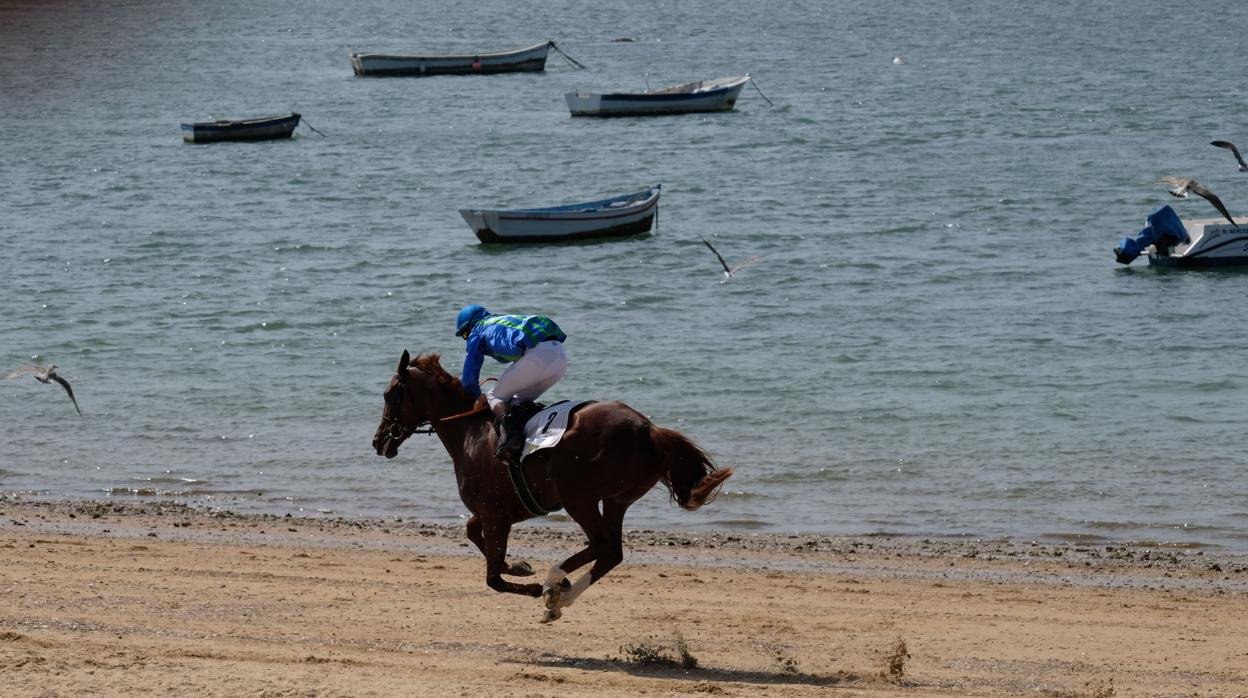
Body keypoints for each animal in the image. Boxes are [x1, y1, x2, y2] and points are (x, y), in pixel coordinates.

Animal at [369, 349, 728, 621]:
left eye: (388, 395)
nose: (378, 441)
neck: (470, 432)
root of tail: (649, 430)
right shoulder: (501, 510)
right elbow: (473, 533)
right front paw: (519, 566)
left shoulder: (496, 513)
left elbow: (493, 577)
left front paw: (526, 582)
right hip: (616, 500)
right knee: (612, 551)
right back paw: (559, 595)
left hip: (578, 497)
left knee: (601, 543)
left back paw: (554, 584)